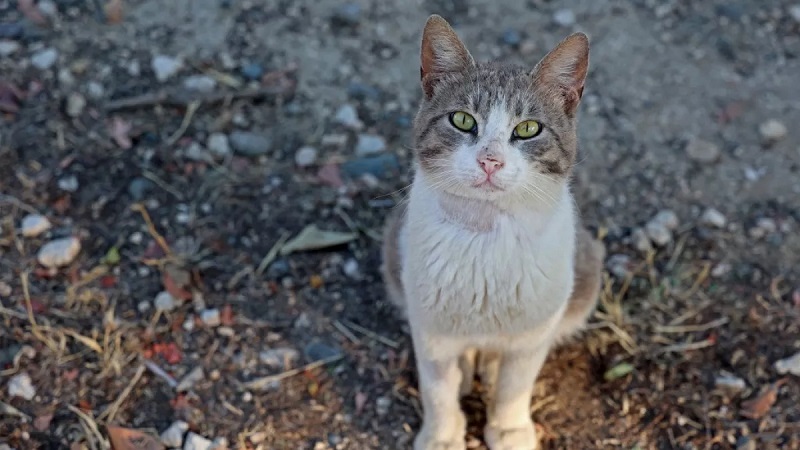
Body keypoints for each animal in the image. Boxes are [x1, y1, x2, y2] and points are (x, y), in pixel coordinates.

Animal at [380, 15, 605, 450]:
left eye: (529, 128)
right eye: (463, 120)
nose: (490, 160)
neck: (486, 231)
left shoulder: (536, 328)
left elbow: (515, 385)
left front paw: (510, 428)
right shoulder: (429, 325)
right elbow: (437, 387)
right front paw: (442, 434)